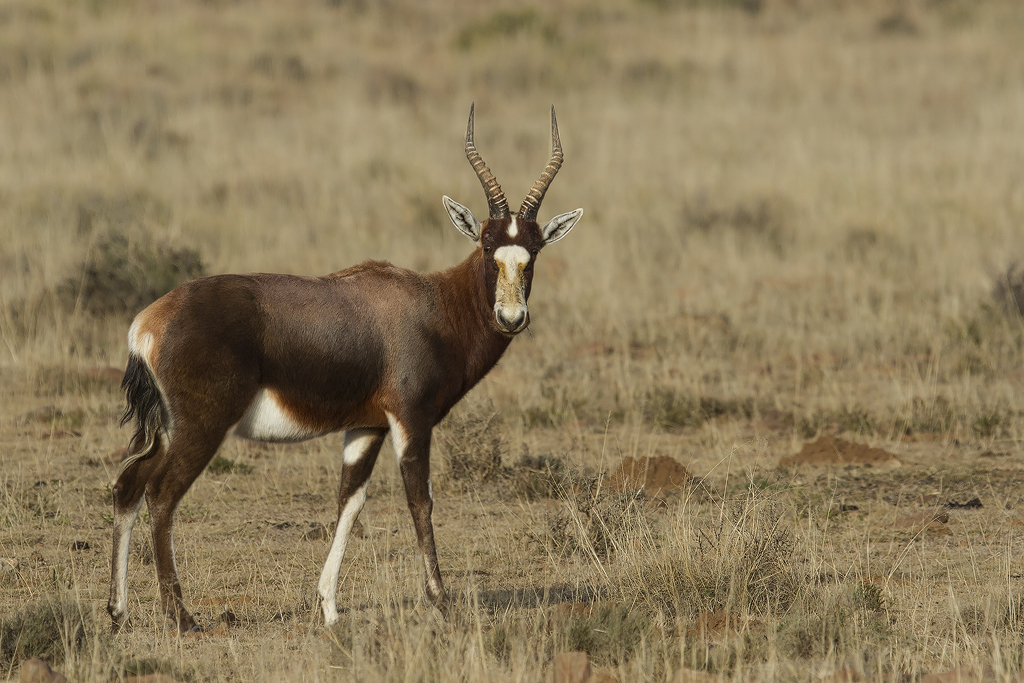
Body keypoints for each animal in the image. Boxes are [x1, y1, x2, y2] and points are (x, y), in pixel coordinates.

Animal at [108, 104, 585, 634]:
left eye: (533, 252)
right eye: (486, 247)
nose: (512, 318)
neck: (432, 304)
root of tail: (148, 322)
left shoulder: (366, 427)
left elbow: (349, 502)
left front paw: (330, 608)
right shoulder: (411, 420)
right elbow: (420, 500)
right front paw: (441, 602)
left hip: (164, 429)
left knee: (128, 485)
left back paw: (118, 610)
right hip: (201, 427)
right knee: (162, 494)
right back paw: (182, 617)